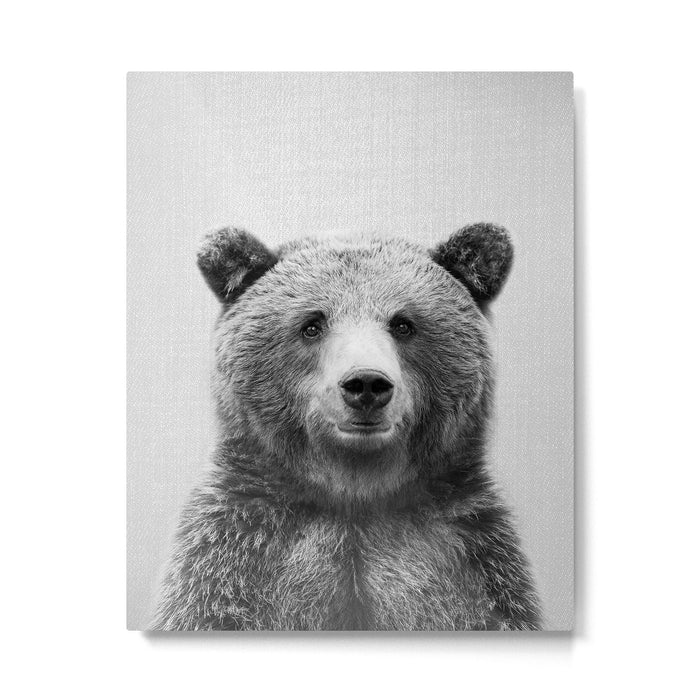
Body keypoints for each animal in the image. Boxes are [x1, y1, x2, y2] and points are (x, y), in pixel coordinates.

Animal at [153, 223, 542, 631]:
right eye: (312, 325)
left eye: (403, 324)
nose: (366, 384)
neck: (355, 494)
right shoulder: (237, 556)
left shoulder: (468, 562)